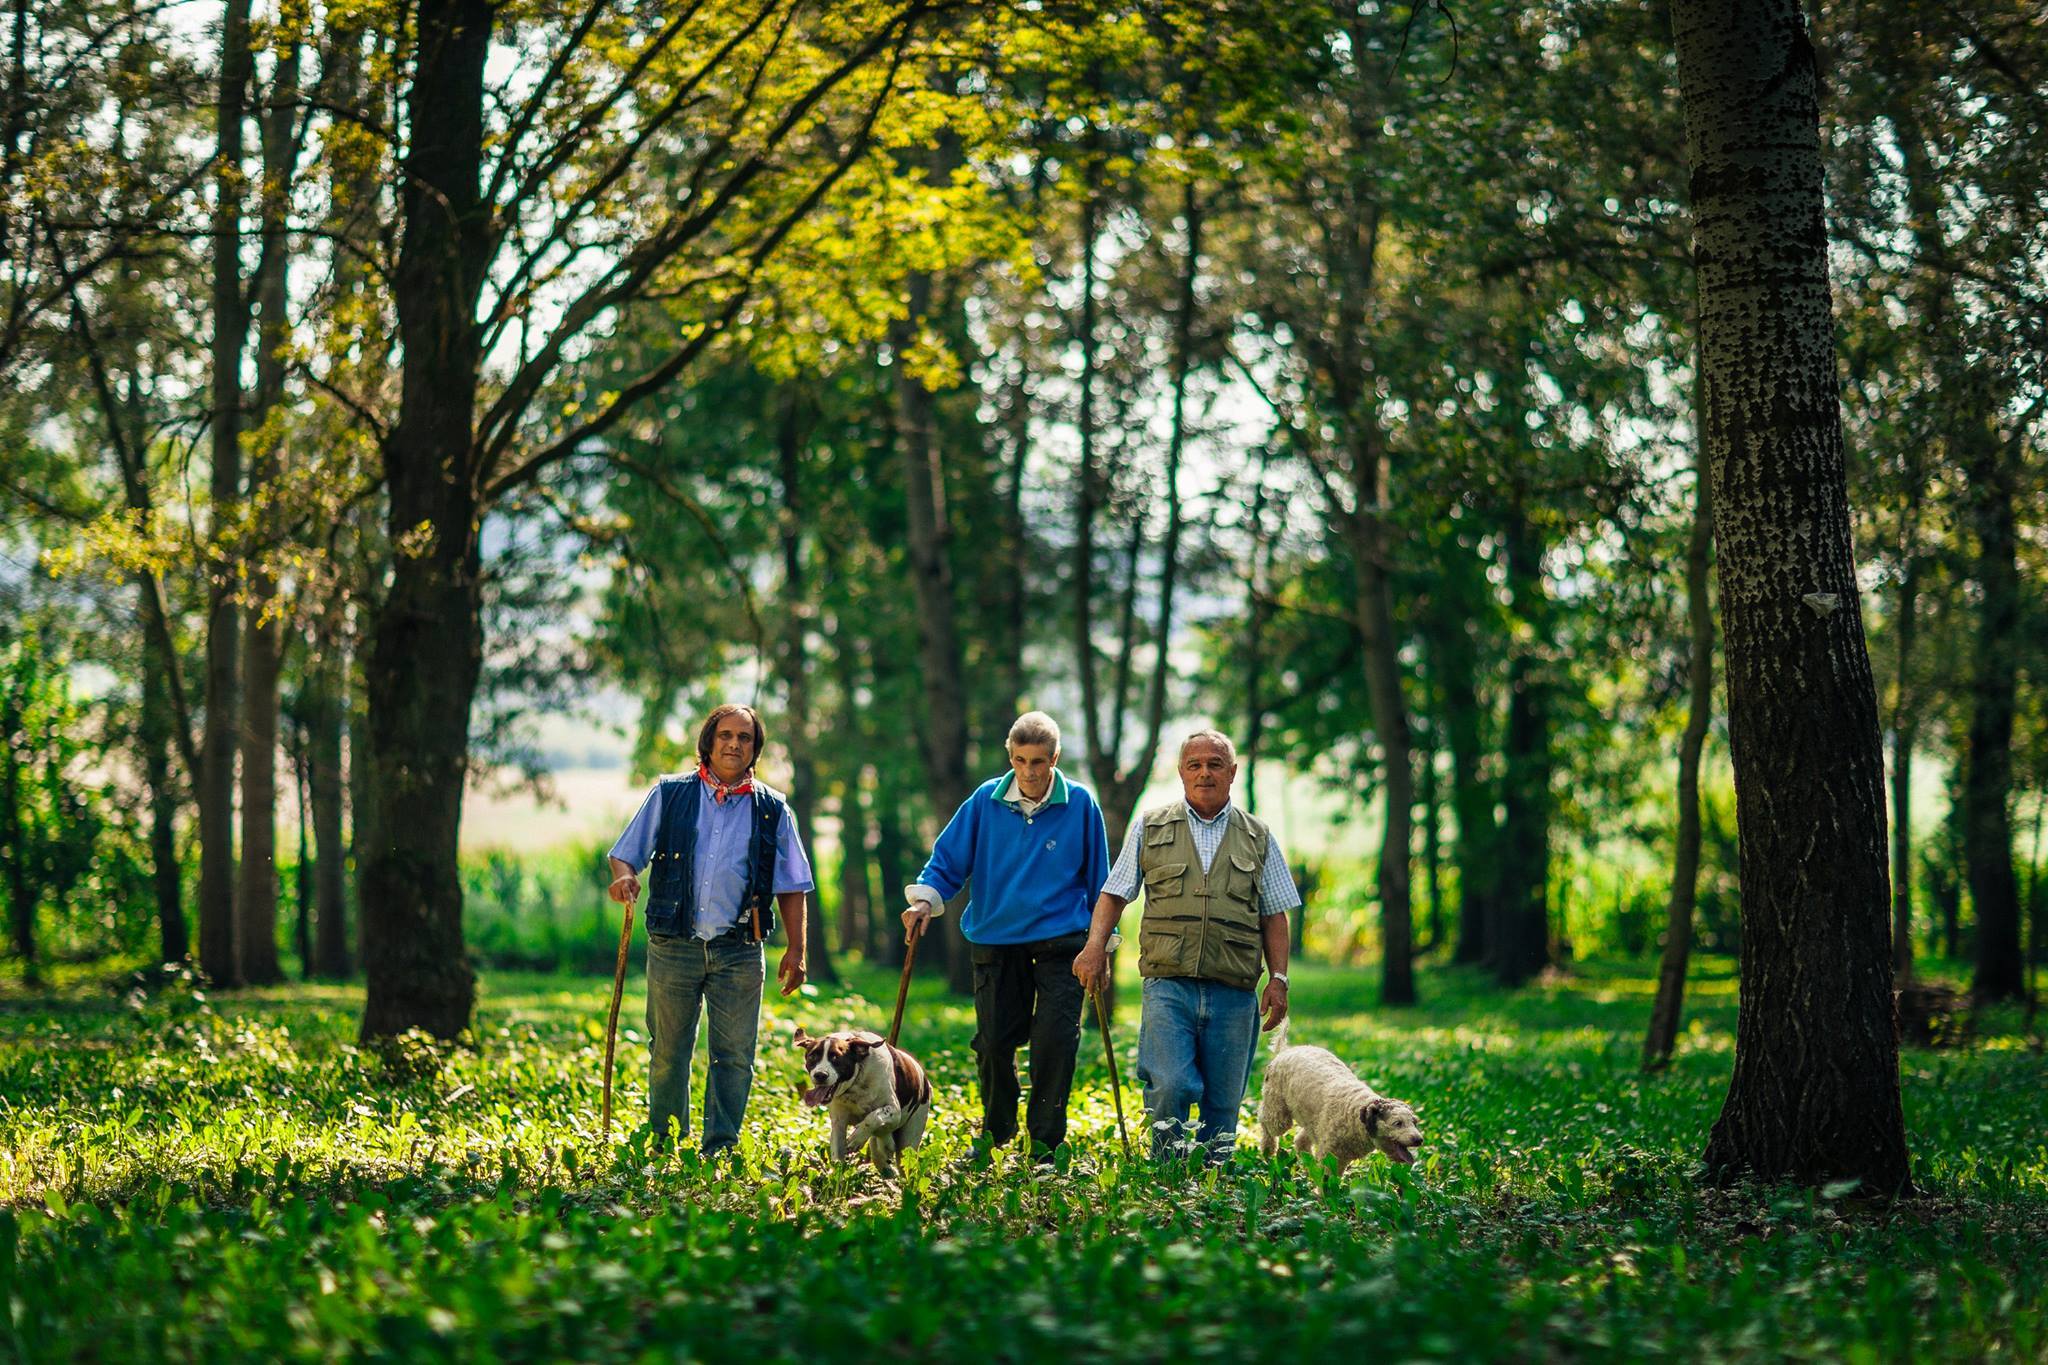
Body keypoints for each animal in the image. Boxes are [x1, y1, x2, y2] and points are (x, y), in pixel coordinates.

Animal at [790, 1023, 937, 1178]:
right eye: (812, 1056)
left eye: (835, 1057)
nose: (820, 1075)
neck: (856, 1082)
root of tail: (925, 1081)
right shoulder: (838, 1123)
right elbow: (837, 1156)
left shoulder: (894, 1112)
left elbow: (874, 1116)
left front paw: (856, 1138)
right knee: (880, 1152)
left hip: (909, 1140)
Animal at [1261, 1023, 1425, 1178]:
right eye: (1397, 1123)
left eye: (1415, 1122)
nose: (1419, 1140)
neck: (1357, 1114)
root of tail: (1286, 1050)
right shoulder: (1330, 1155)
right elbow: (1327, 1182)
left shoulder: (1339, 1157)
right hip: (1278, 1113)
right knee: (1265, 1122)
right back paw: (1267, 1152)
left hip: (1312, 1121)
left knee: (1300, 1141)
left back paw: (1309, 1165)